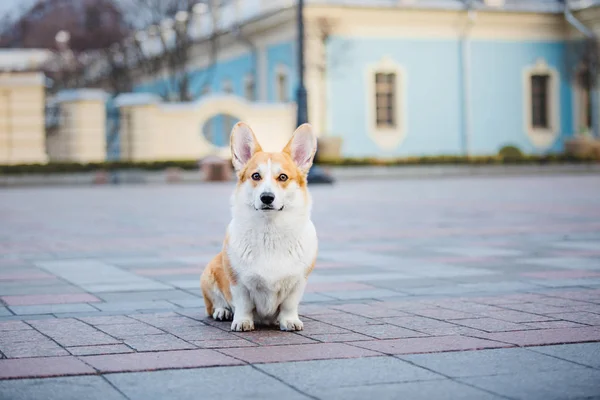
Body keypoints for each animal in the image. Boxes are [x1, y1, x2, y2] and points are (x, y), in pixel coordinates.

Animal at [200, 121, 318, 332]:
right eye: (256, 176)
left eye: (283, 177)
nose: (267, 197)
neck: (270, 231)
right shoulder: (238, 282)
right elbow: (243, 304)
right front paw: (242, 322)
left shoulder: (298, 281)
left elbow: (289, 305)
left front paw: (289, 321)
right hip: (208, 273)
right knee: (214, 303)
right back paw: (222, 312)